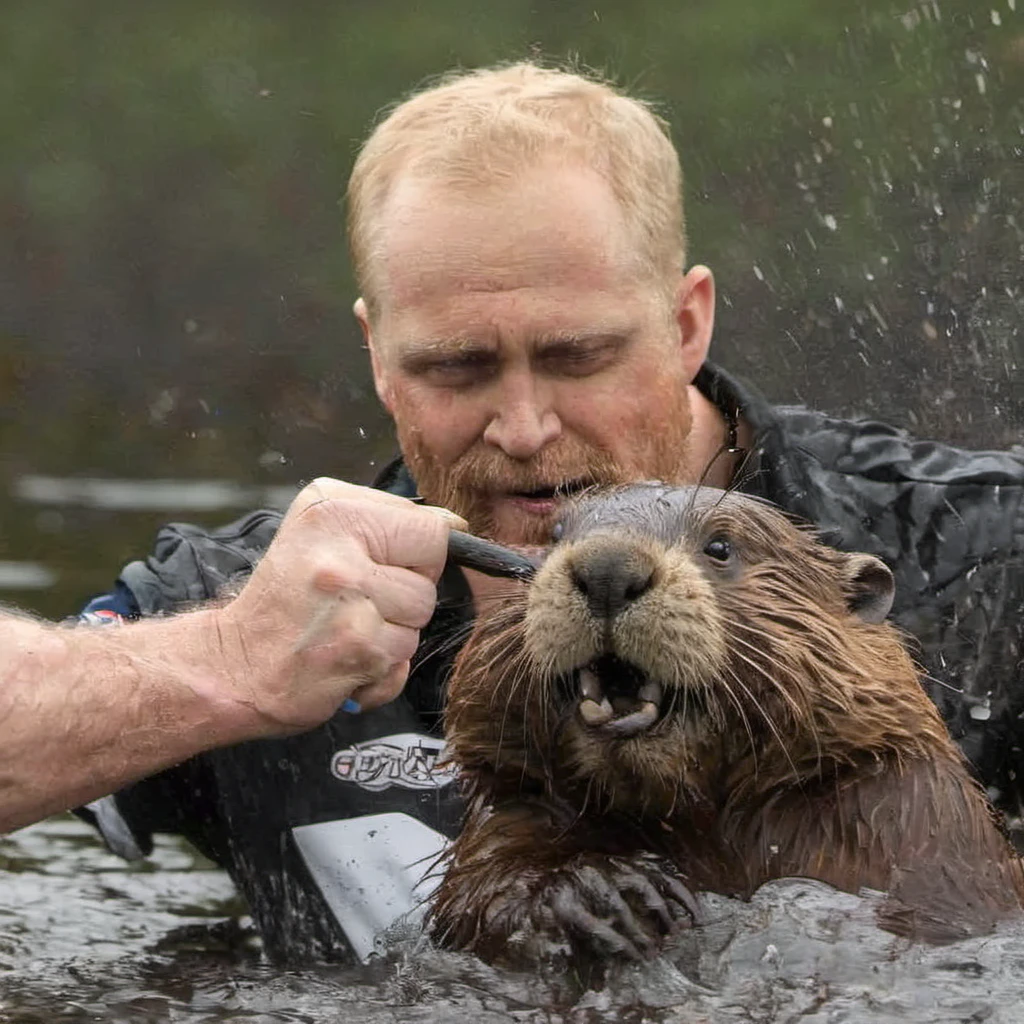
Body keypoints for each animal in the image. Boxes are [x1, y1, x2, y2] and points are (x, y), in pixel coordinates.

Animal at [428, 483, 1024, 962]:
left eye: (720, 546)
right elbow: (483, 885)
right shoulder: (514, 807)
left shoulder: (913, 815)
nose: (607, 569)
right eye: (554, 534)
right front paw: (607, 896)